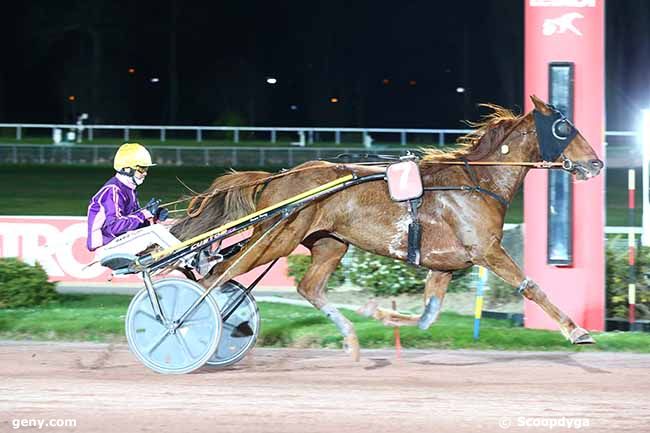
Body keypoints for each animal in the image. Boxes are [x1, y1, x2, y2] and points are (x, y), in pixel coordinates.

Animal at [170, 96, 600, 360]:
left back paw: (350, 339)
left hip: (329, 244)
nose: (595, 163)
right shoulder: (487, 250)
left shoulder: (444, 265)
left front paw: (376, 313)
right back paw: (182, 324)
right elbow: (532, 286)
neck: (477, 181)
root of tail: (275, 178)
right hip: (276, 239)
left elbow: (428, 316)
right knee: (217, 274)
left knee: (307, 287)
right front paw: (577, 331)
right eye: (564, 128)